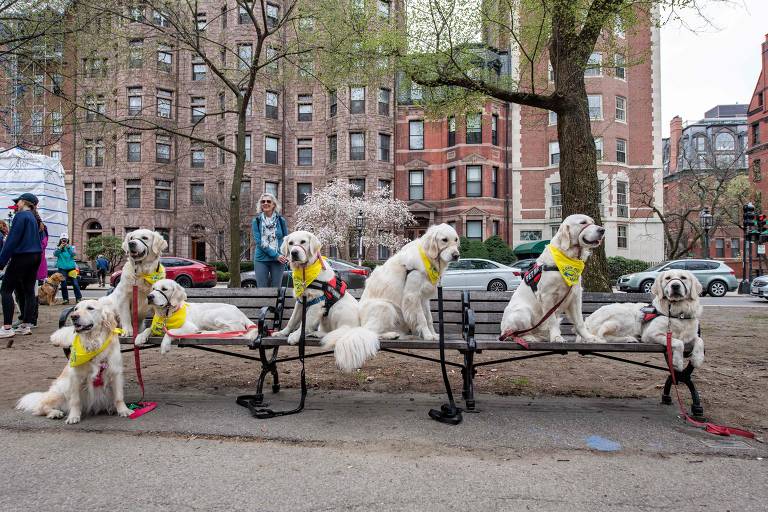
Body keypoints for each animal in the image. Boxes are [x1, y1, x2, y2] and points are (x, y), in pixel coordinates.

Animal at [272, 232, 380, 372]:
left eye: (303, 242)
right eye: (290, 243)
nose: (294, 253)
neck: (305, 272)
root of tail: (356, 328)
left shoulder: (317, 302)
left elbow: (305, 323)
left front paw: (295, 336)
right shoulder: (301, 302)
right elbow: (292, 320)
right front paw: (283, 332)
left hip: (336, 310)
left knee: (335, 331)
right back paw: (316, 333)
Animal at [498, 214, 608, 342]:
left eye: (593, 222)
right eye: (583, 223)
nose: (602, 230)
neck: (567, 257)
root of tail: (502, 330)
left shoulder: (575, 296)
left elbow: (579, 322)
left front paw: (588, 337)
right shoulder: (547, 297)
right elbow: (552, 320)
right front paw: (556, 337)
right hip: (522, 312)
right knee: (515, 333)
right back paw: (529, 337)